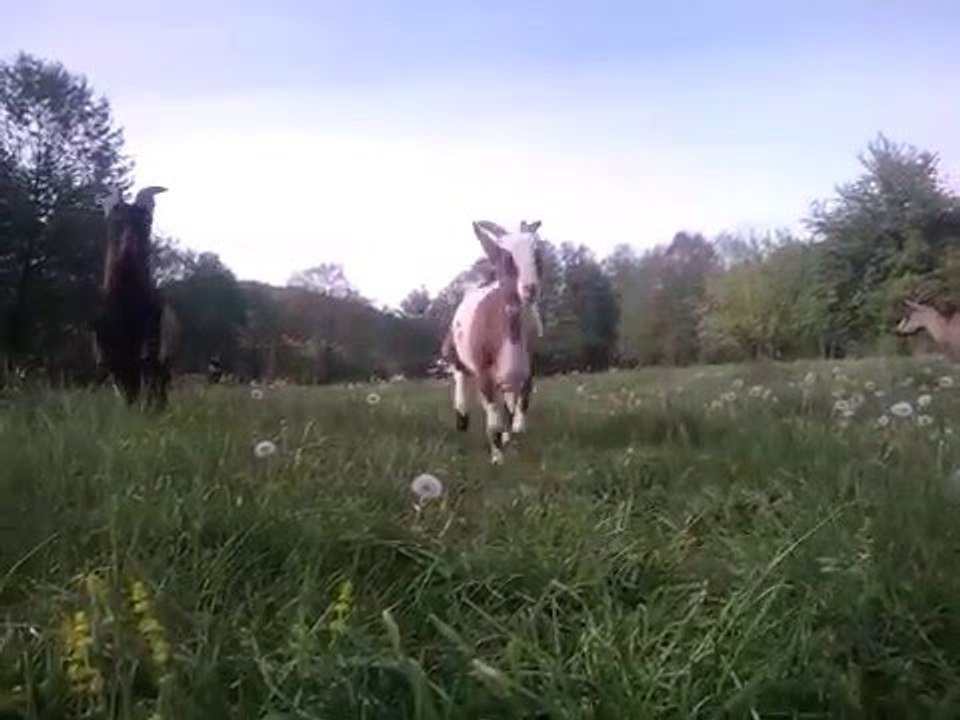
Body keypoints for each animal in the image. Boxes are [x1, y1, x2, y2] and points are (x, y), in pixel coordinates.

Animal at [92, 185, 177, 410]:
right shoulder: (110, 357)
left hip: (162, 366)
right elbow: (125, 394)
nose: (128, 248)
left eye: (147, 222)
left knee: (157, 389)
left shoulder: (149, 351)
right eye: (115, 221)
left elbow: (145, 386)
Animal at [441, 219, 545, 464]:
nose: (530, 289)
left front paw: (512, 433)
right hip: (454, 349)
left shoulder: (527, 368)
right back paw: (462, 418)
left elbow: (518, 405)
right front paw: (497, 458)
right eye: (505, 256)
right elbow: (494, 420)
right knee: (459, 373)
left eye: (537, 254)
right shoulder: (484, 371)